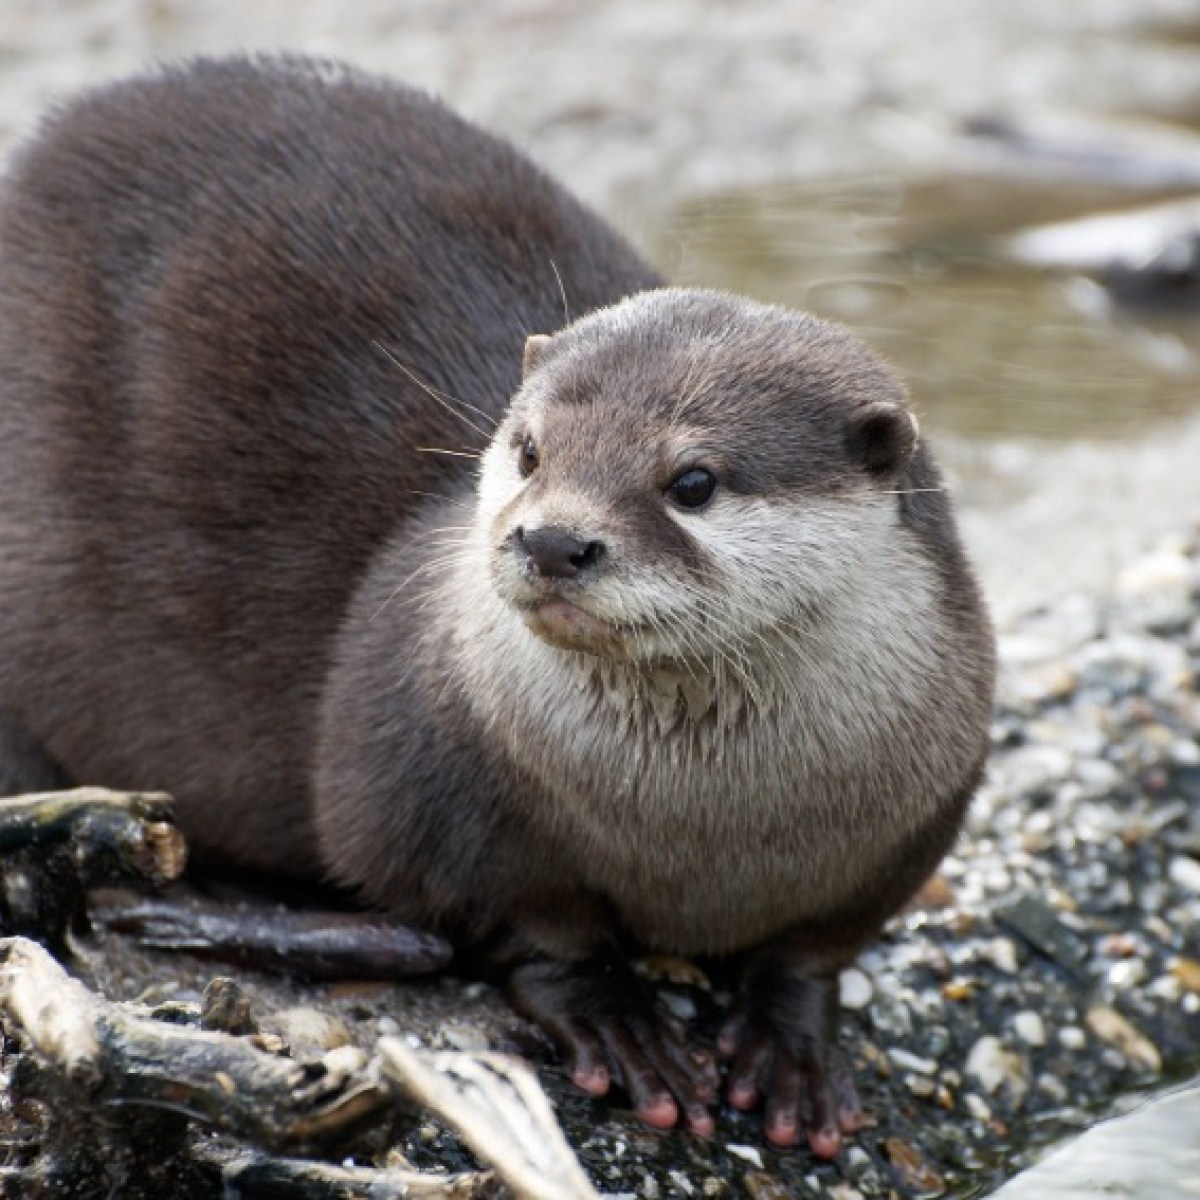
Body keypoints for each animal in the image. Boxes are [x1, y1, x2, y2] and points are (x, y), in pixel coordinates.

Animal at [0, 57, 995, 1157]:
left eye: (692, 482)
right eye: (529, 450)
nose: (553, 539)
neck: (704, 826)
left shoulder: (920, 809)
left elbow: (817, 948)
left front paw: (791, 1044)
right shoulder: (433, 786)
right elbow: (527, 929)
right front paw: (620, 1022)